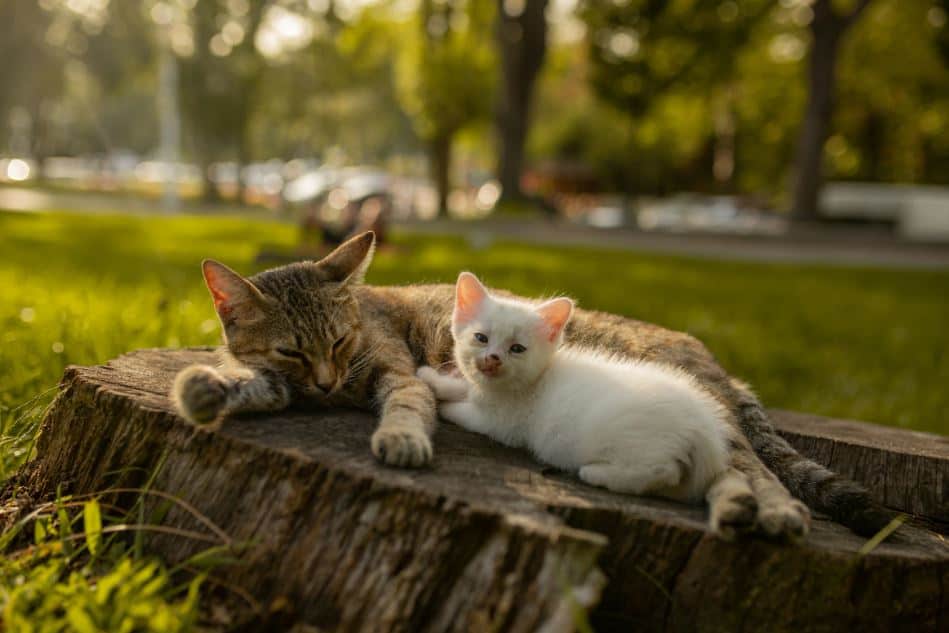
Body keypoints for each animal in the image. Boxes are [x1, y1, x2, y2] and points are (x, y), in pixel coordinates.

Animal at [416, 272, 732, 504]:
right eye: (481, 338)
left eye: (517, 349)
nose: (493, 358)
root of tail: (702, 426)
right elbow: (463, 387)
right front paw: (434, 378)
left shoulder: (502, 425)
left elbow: (463, 412)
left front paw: (442, 401)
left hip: (636, 443)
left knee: (664, 471)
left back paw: (596, 474)